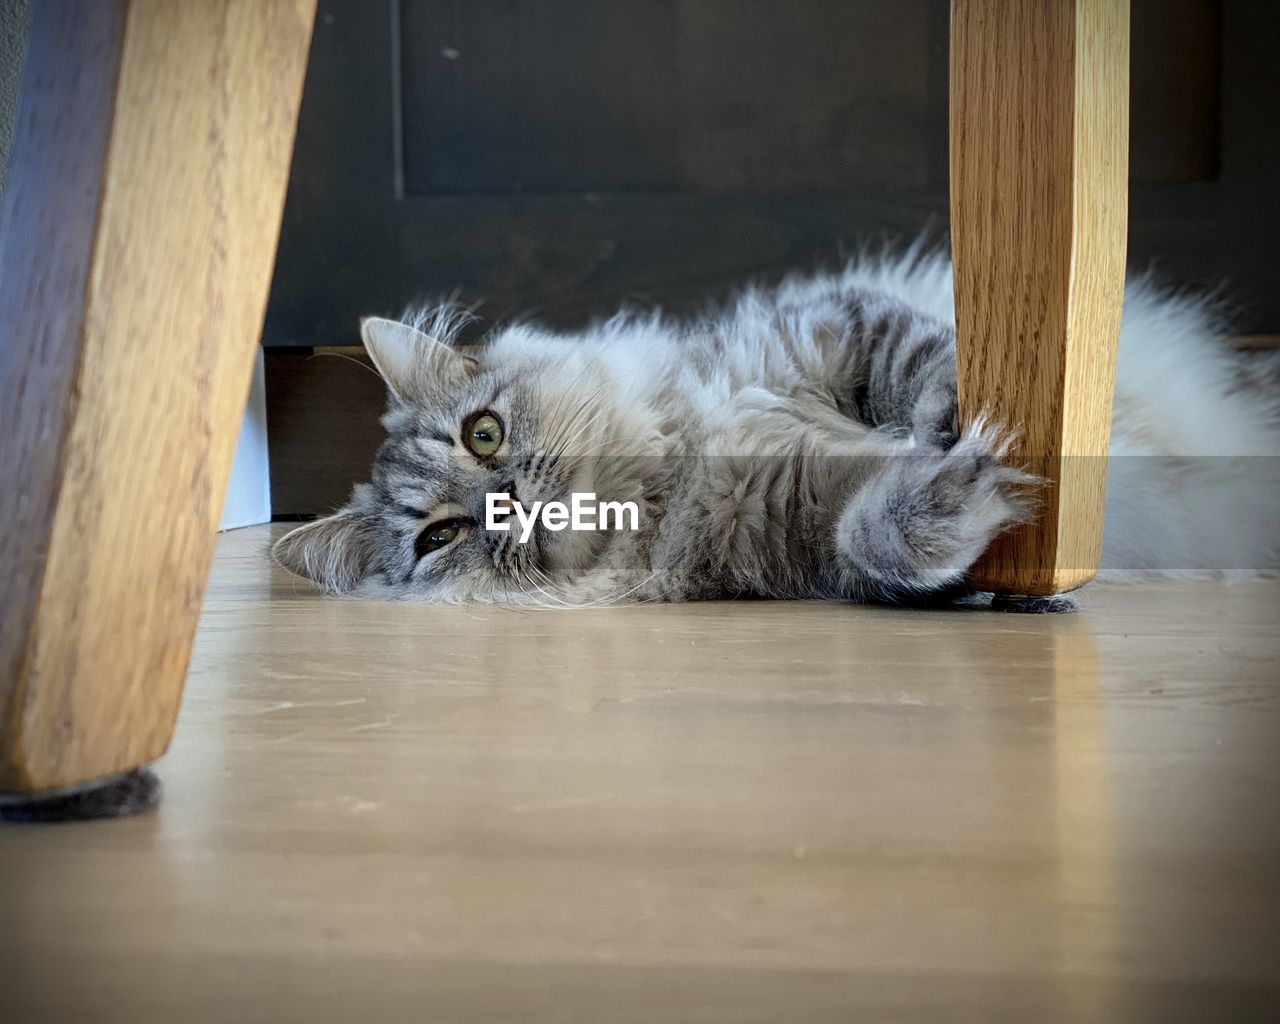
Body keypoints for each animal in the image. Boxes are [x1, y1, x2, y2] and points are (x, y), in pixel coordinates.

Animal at [272, 247, 1280, 604]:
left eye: (483, 435)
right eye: (439, 539)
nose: (509, 500)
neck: (672, 479)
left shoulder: (837, 327)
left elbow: (918, 375)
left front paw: (953, 429)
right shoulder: (797, 532)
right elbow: (874, 537)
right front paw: (956, 491)